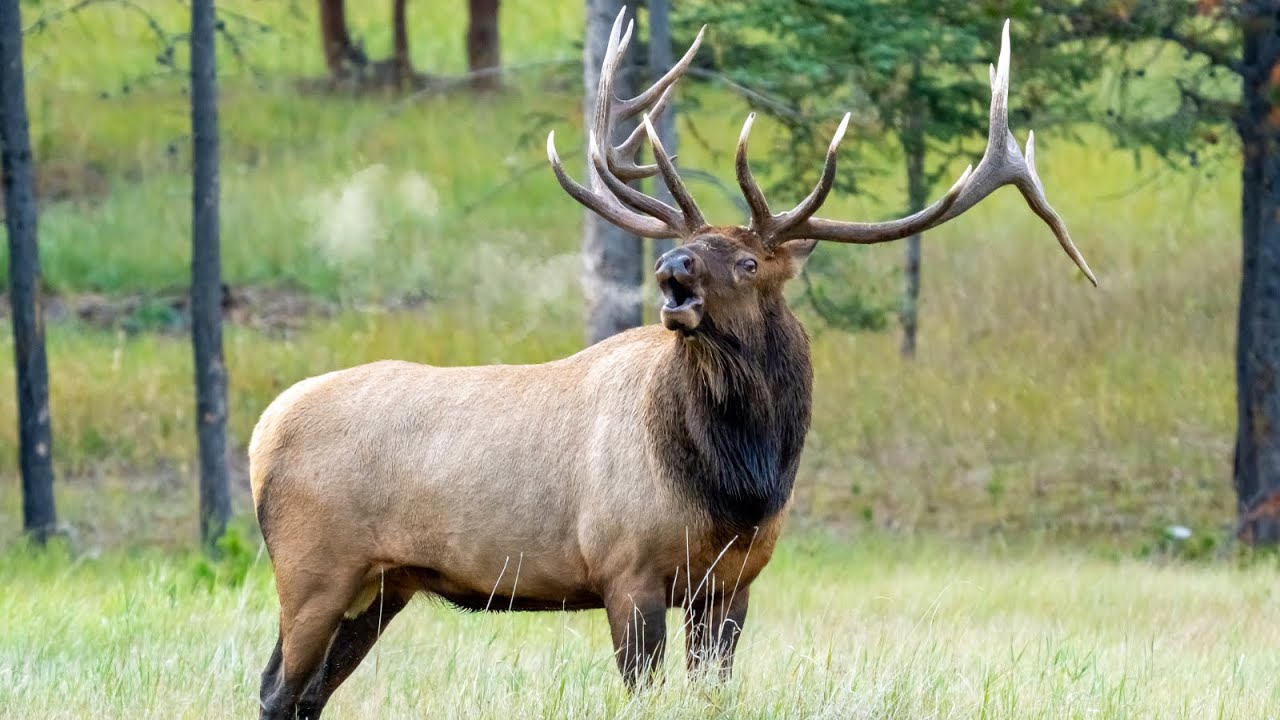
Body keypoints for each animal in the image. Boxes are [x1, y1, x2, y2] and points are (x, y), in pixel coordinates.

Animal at [250, 10, 1096, 718]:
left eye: (749, 261)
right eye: (696, 246)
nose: (671, 268)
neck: (738, 484)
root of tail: (262, 432)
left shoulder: (733, 583)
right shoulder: (627, 570)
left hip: (380, 585)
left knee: (305, 695)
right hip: (313, 569)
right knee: (277, 689)